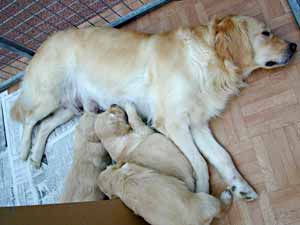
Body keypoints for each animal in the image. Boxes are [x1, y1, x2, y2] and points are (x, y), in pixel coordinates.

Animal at [9, 14, 298, 200]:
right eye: (266, 33)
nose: (295, 45)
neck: (207, 62)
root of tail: (40, 46)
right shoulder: (173, 123)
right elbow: (199, 162)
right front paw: (203, 192)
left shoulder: (197, 124)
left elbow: (222, 157)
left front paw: (241, 186)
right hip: (48, 96)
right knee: (28, 119)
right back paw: (23, 151)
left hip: (71, 107)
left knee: (44, 126)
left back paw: (36, 157)